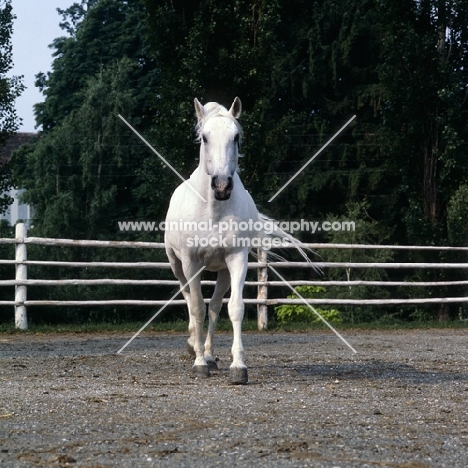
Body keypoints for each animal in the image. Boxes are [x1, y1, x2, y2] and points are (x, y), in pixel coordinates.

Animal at [165, 97, 264, 386]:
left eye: (236, 136)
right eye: (205, 137)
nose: (221, 186)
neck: (213, 210)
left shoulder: (237, 259)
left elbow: (234, 308)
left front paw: (238, 367)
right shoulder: (190, 263)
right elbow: (197, 307)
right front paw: (198, 363)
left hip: (222, 272)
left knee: (216, 307)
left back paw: (209, 355)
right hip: (177, 266)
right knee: (189, 299)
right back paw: (195, 348)